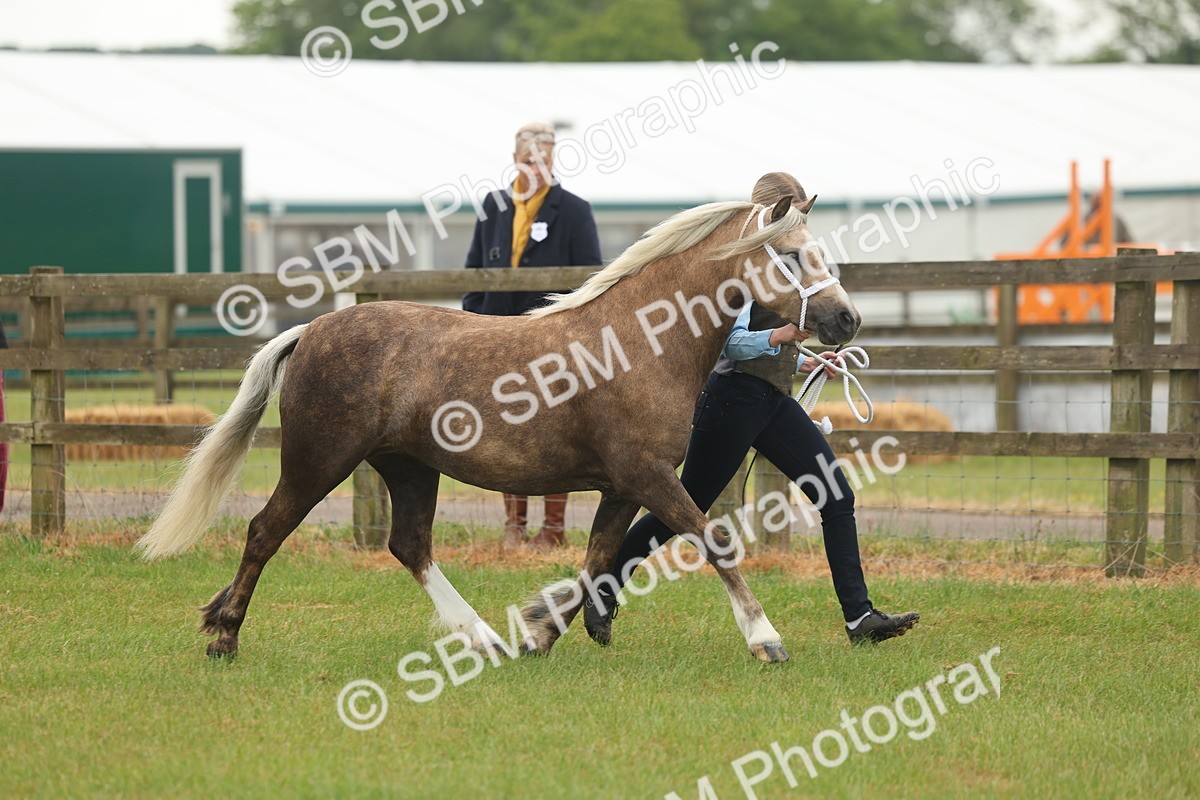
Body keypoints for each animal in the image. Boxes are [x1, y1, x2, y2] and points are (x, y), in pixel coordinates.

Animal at [137, 188, 861, 663]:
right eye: (791, 255)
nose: (846, 320)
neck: (639, 343)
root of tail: (311, 330)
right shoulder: (648, 477)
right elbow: (714, 542)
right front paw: (766, 640)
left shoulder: (622, 487)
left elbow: (597, 562)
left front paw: (539, 634)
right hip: (319, 460)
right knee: (266, 531)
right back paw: (225, 635)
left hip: (408, 467)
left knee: (409, 546)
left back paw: (484, 638)